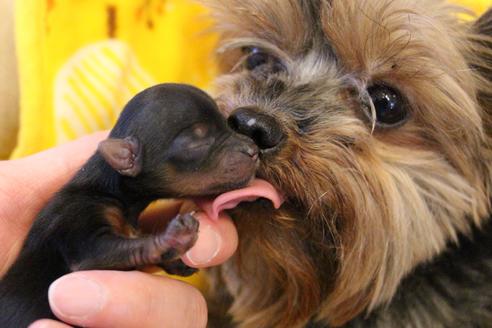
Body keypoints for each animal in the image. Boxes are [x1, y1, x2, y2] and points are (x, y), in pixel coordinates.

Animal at [0, 83, 260, 326]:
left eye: (227, 124)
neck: (110, 190)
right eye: (197, 144)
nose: (254, 150)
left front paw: (175, 261)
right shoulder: (78, 218)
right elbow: (110, 250)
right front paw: (171, 239)